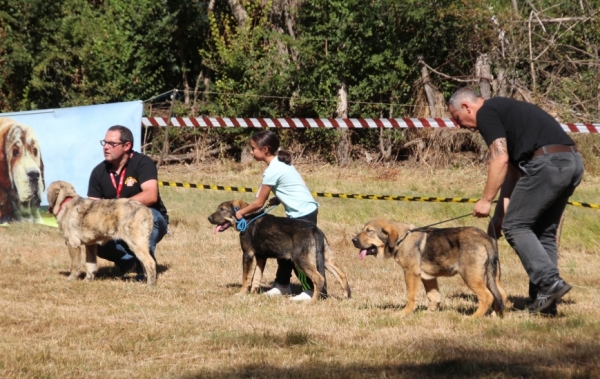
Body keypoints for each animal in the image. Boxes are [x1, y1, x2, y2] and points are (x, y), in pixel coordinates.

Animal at [211, 200, 352, 302]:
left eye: (222, 209)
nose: (209, 218)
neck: (248, 219)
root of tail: (315, 230)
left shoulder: (248, 255)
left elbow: (245, 278)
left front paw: (241, 294)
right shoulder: (261, 257)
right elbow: (256, 277)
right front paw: (253, 294)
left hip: (301, 260)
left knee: (319, 279)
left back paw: (312, 301)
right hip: (325, 258)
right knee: (342, 275)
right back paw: (346, 296)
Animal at [350, 220, 508, 318]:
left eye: (369, 231)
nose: (353, 240)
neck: (401, 238)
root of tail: (485, 238)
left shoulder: (411, 273)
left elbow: (411, 296)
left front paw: (404, 313)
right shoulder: (429, 277)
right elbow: (434, 296)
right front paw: (430, 312)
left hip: (471, 276)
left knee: (487, 296)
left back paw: (474, 317)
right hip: (492, 276)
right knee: (501, 295)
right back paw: (496, 315)